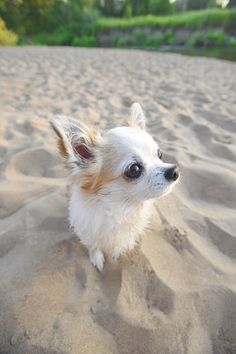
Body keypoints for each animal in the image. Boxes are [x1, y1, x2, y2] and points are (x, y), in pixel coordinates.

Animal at [50, 103, 180, 272]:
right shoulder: (88, 232)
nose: (174, 170)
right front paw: (97, 258)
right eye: (134, 169)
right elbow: (94, 246)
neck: (122, 209)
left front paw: (115, 254)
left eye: (159, 154)